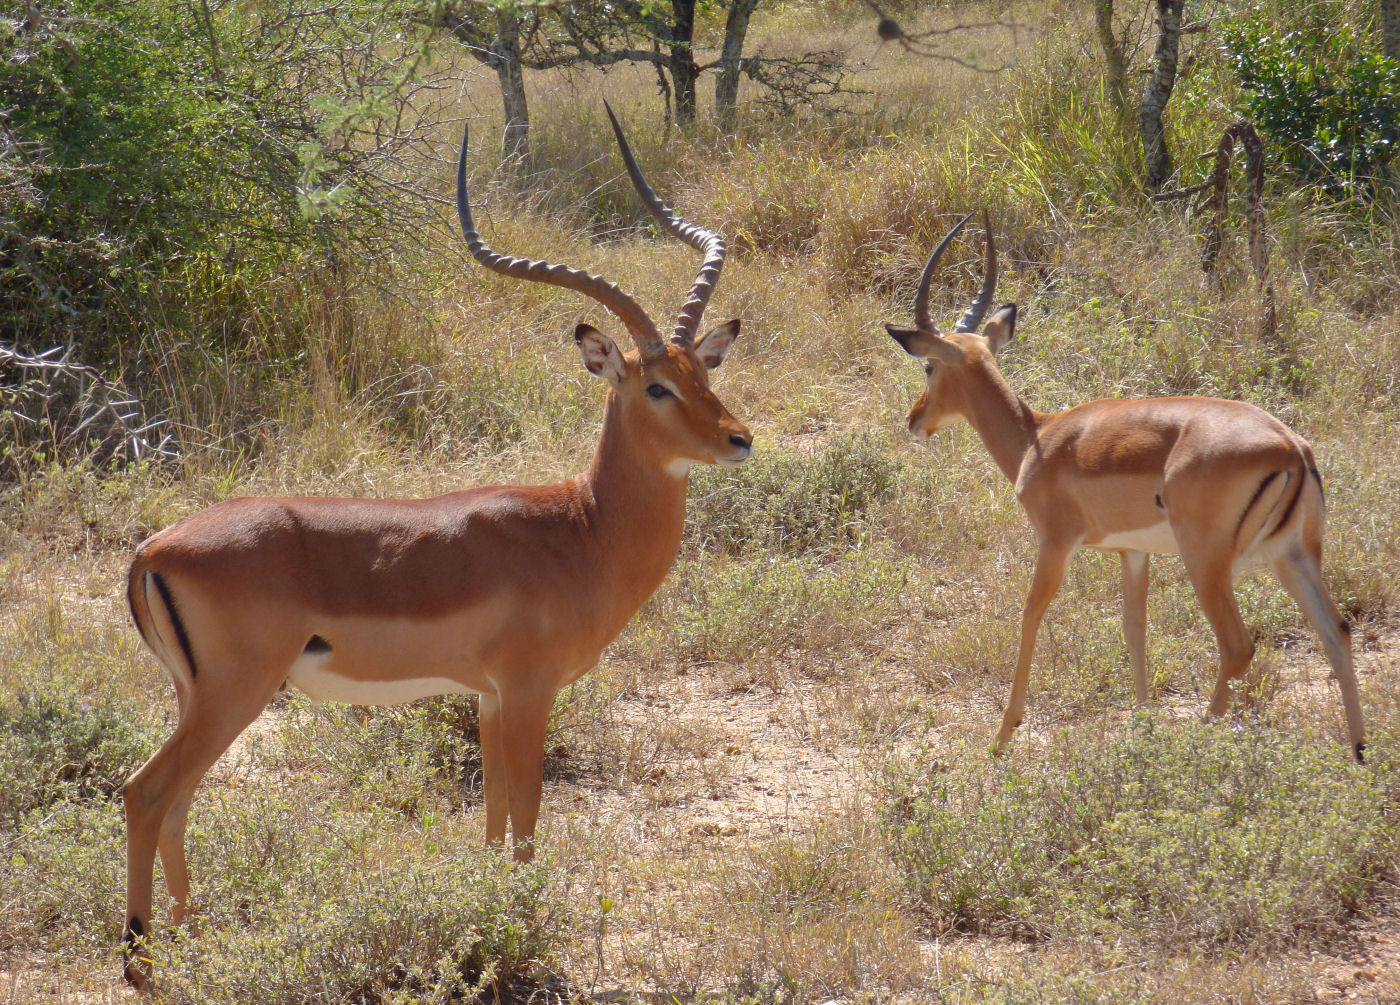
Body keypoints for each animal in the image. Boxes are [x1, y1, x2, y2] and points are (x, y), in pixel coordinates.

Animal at [119, 105, 753, 988]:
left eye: (705, 371)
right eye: (656, 384)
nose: (739, 439)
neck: (581, 528)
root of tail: (153, 547)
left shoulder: (485, 697)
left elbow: (492, 819)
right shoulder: (527, 691)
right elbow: (526, 821)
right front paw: (519, 932)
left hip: (198, 696)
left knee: (176, 800)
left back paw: (194, 944)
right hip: (234, 693)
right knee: (145, 791)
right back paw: (143, 963)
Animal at [885, 211, 1365, 761]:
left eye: (928, 365)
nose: (914, 419)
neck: (1036, 437)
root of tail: (1292, 448)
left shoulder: (1056, 542)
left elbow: (1030, 613)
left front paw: (1002, 737)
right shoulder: (1133, 552)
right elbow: (1134, 629)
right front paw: (1142, 727)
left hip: (1207, 561)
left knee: (1238, 645)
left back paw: (1200, 743)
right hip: (1293, 555)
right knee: (1338, 632)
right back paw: (1359, 755)